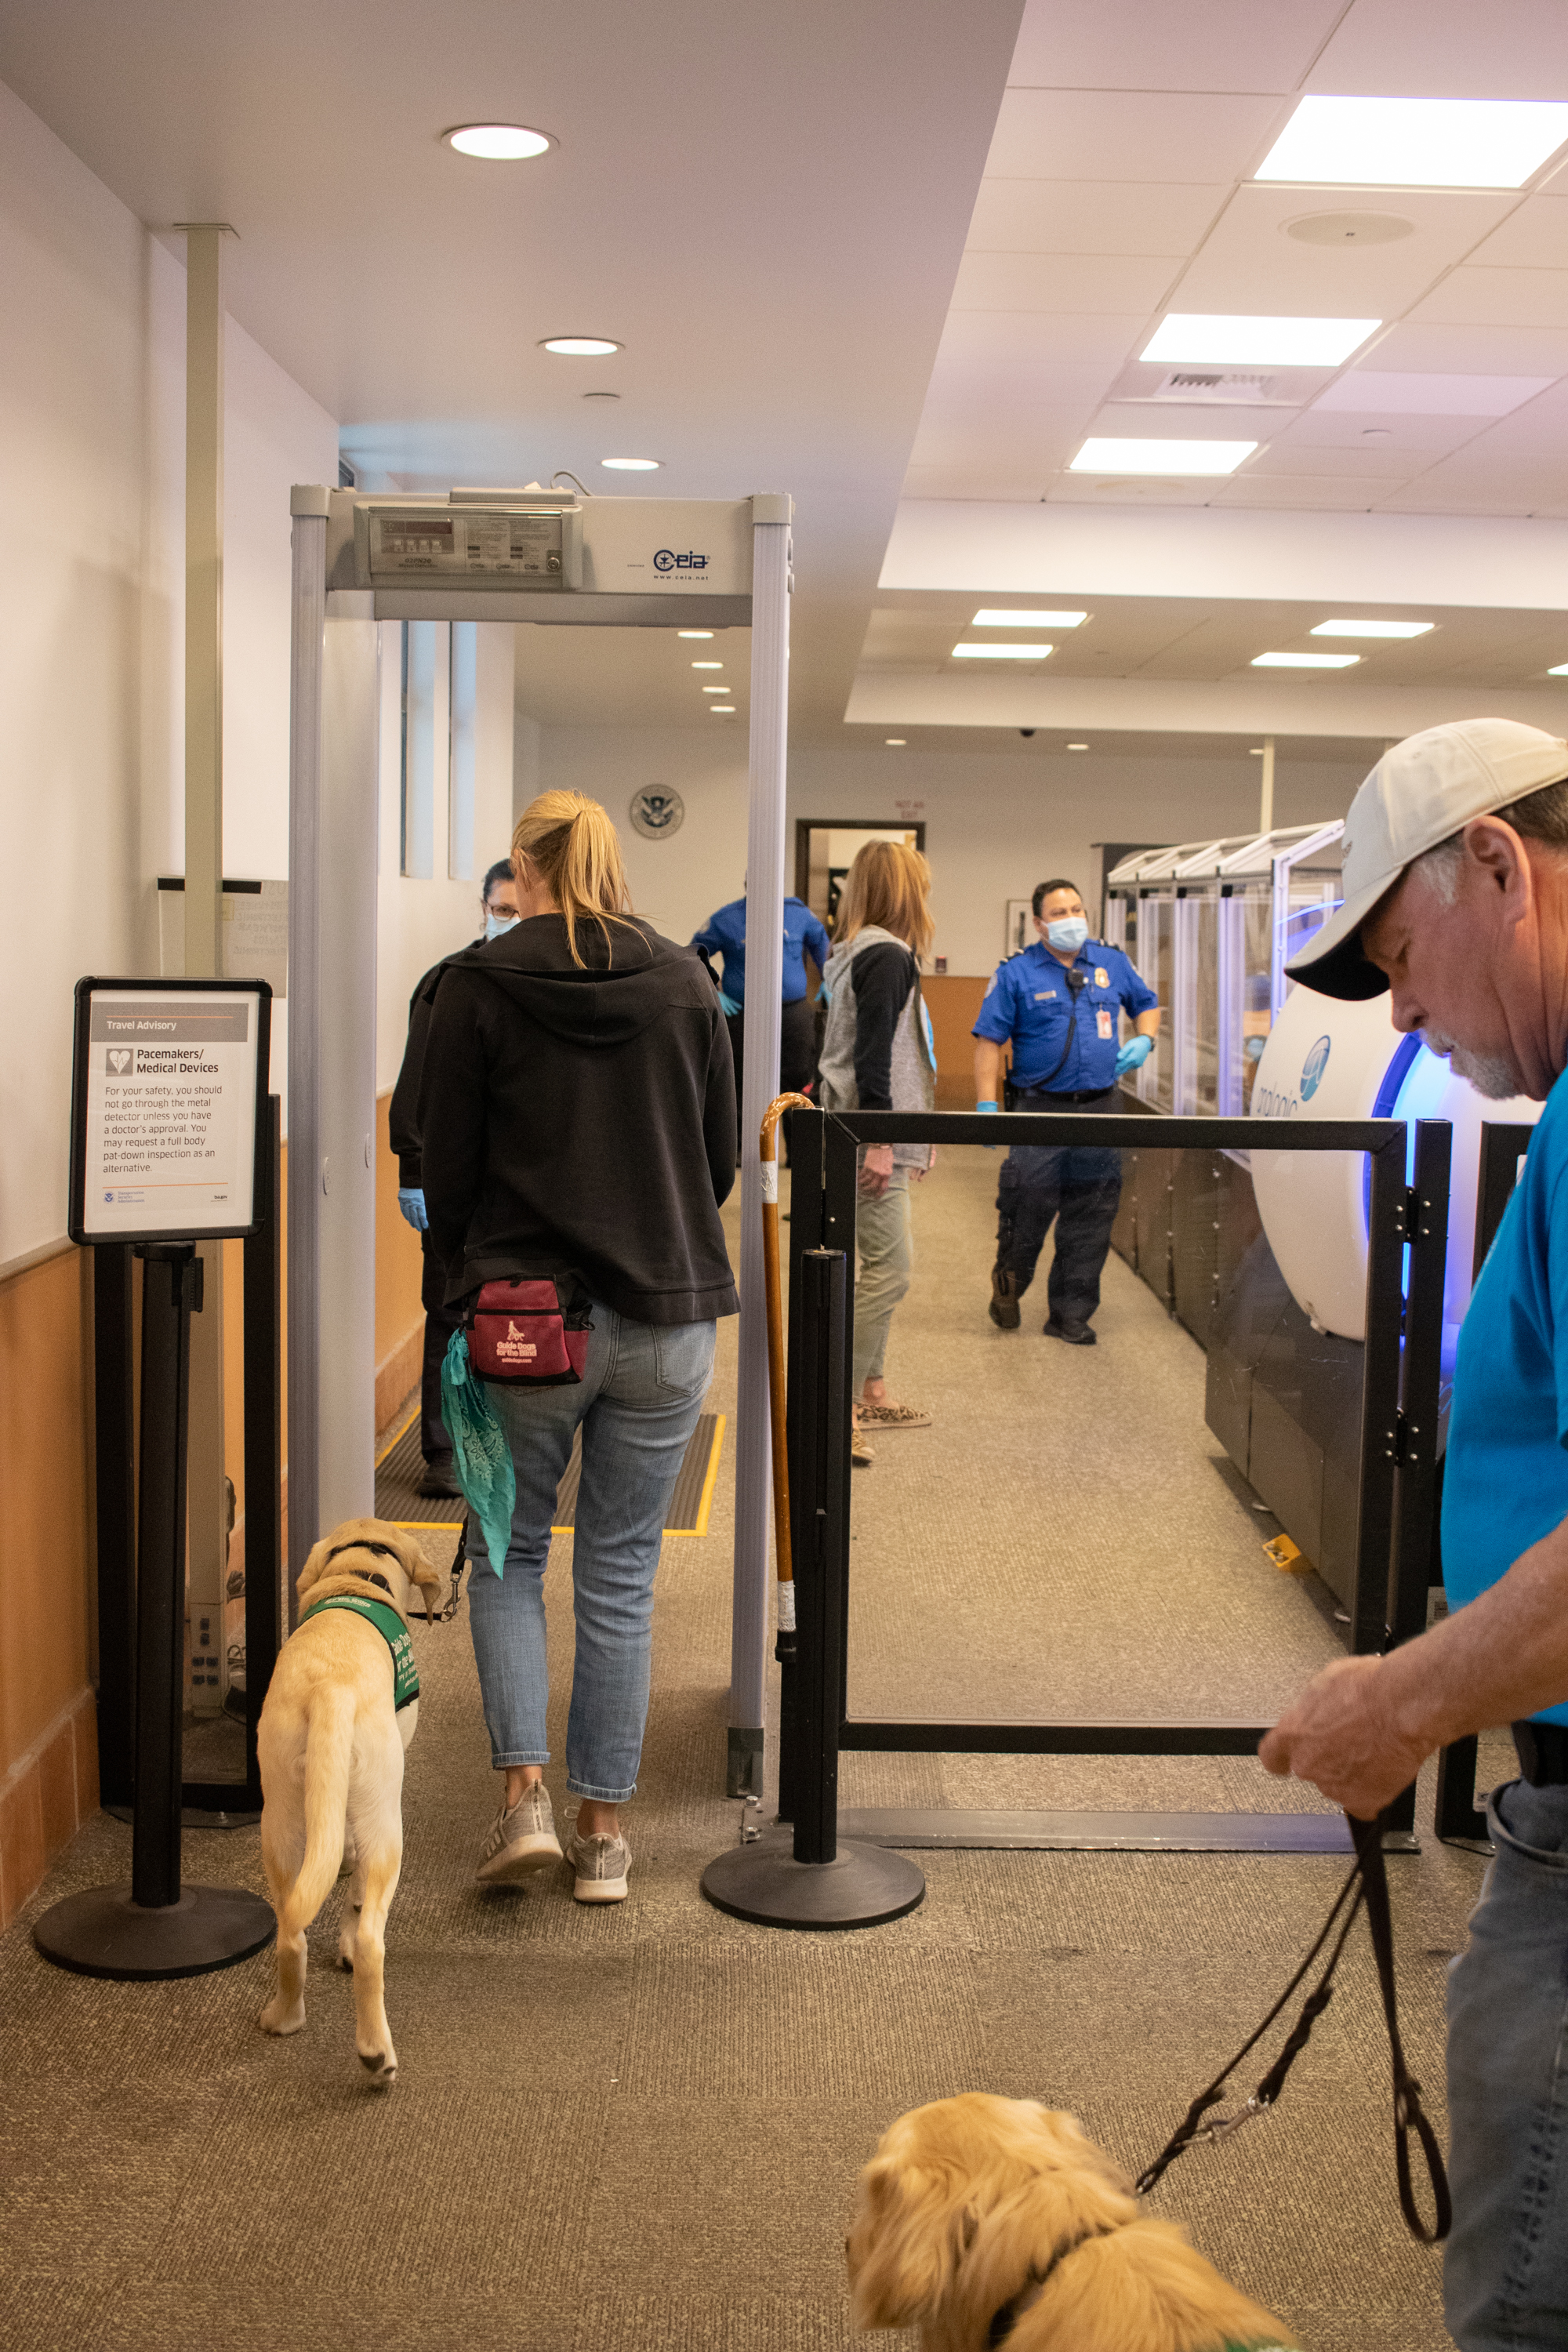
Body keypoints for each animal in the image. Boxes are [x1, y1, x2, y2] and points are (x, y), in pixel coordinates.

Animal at [257, 1515, 441, 2089]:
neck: (359, 1574)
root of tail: (330, 1689)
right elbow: (356, 1889)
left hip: (280, 1824)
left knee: (291, 1935)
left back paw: (284, 2018)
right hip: (386, 1829)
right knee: (368, 1940)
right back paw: (376, 2054)